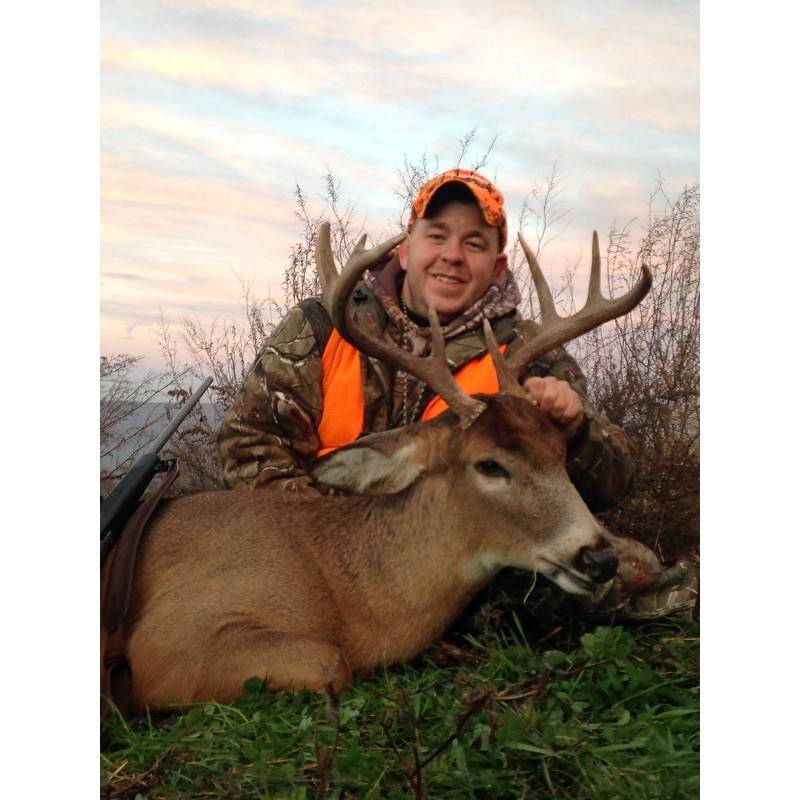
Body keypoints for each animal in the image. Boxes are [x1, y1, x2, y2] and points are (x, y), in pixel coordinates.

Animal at [100, 223, 652, 715]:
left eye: (560, 451)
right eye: (490, 464)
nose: (599, 557)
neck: (347, 596)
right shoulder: (168, 644)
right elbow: (331, 661)